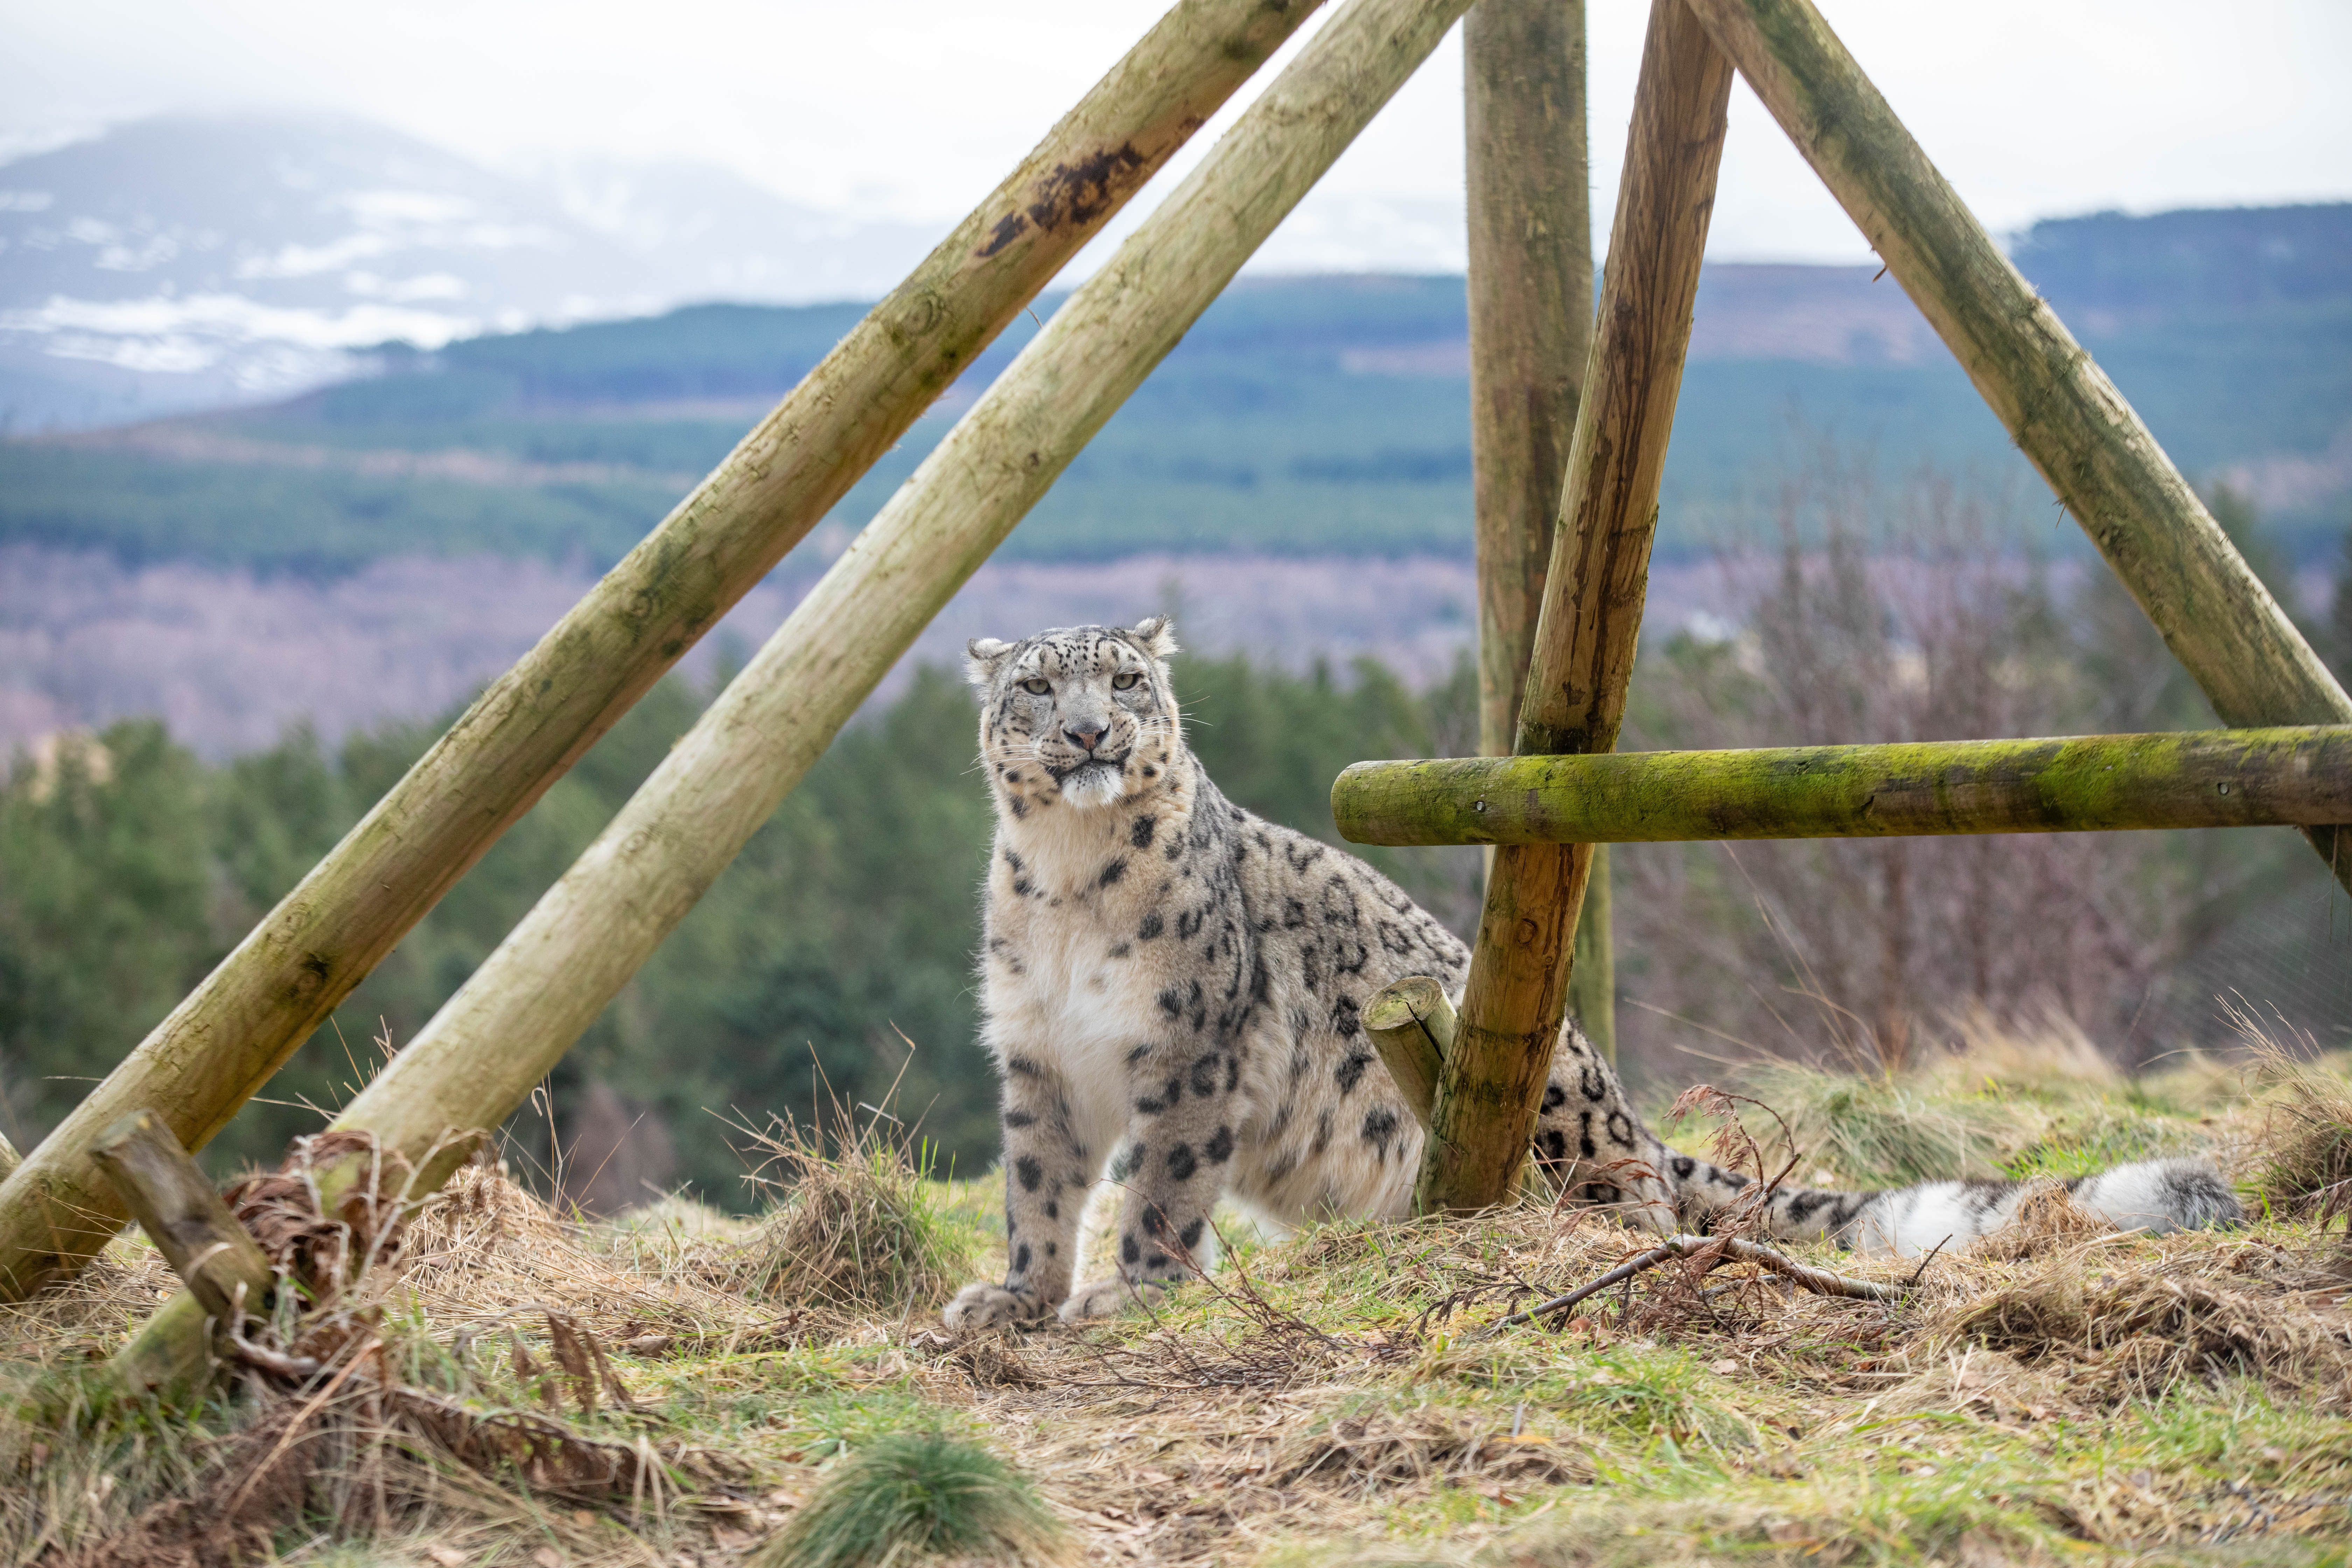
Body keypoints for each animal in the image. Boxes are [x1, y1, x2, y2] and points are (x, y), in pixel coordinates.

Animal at [941, 619, 2238, 1328]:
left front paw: (1131, 1291)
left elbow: (1163, 1183)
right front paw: (1013, 1300)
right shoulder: (1040, 1054)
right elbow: (1040, 1186)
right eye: (1039, 687)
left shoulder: (1196, 1042)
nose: (1092, 734)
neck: (1069, 885)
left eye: (1125, 681)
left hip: (1557, 1109)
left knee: (1640, 1207)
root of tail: (1636, 1121)